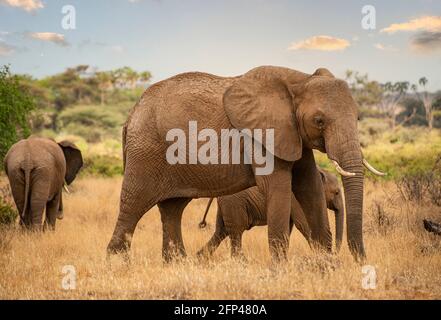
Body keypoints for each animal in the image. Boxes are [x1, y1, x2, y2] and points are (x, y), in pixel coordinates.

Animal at [196, 168, 344, 258]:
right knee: (236, 232)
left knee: (221, 232)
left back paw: (200, 258)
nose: (335, 252)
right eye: (337, 192)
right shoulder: (296, 199)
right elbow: (304, 225)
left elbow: (287, 229)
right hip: (234, 204)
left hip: (227, 205)